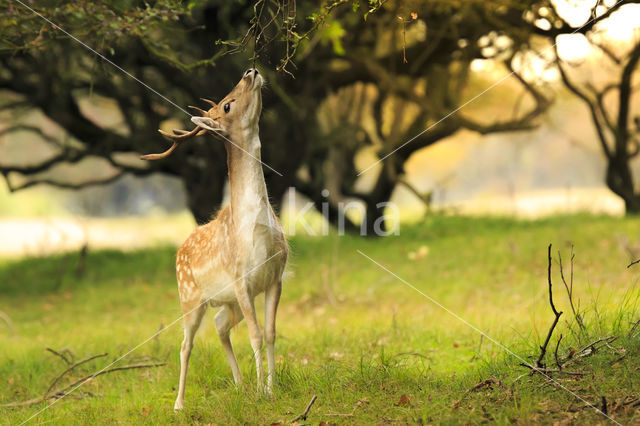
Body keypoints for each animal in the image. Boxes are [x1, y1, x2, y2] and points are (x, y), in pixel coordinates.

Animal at [142, 68, 290, 412]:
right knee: (186, 343)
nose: (250, 71)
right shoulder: (241, 279)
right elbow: (256, 336)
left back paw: (239, 384)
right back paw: (180, 404)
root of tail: (179, 250)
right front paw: (262, 393)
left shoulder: (275, 276)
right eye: (227, 105)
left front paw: (272, 389)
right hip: (189, 298)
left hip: (226, 301)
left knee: (221, 327)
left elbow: (271, 333)